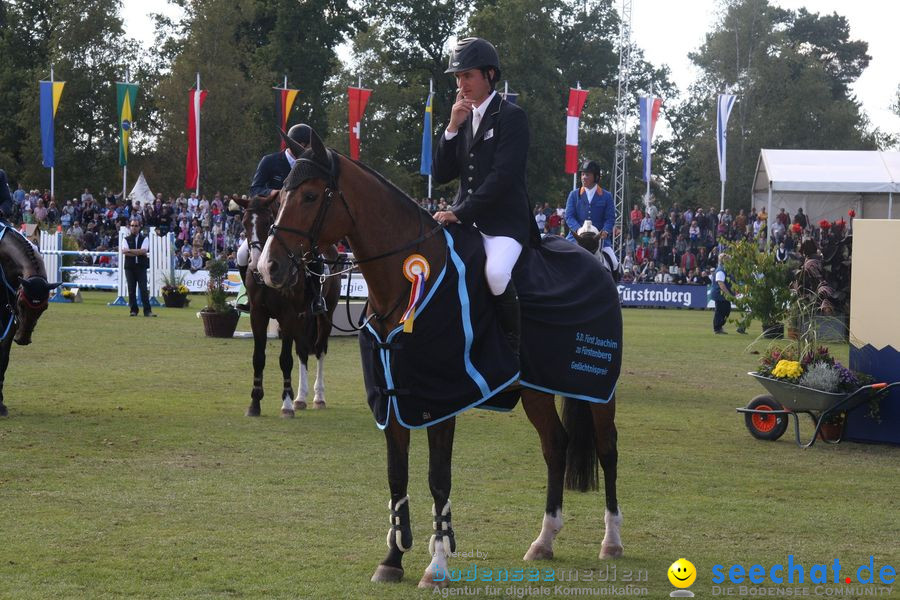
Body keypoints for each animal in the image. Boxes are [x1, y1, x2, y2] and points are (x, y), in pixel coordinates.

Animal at [0, 225, 60, 418]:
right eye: (21, 303)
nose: (23, 339)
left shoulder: (10, 321)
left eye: (44, 307)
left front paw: (1, 404)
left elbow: (4, 357)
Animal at [234, 197, 340, 418]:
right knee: (302, 351)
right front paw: (255, 403)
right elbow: (258, 358)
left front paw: (287, 405)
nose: (256, 265)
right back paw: (300, 397)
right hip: (303, 318)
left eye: (268, 223)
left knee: (319, 350)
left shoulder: (288, 315)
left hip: (324, 316)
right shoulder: (258, 314)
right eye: (245, 223)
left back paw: (318, 397)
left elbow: (285, 359)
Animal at [253, 130, 620, 584]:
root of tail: (595, 262)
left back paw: (611, 540)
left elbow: (438, 479)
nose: (268, 268)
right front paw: (392, 559)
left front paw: (437, 563)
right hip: (536, 389)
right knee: (556, 445)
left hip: (598, 389)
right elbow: (397, 475)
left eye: (308, 195)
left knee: (607, 448)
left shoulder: (440, 401)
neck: (403, 286)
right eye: (279, 196)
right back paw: (544, 540)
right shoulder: (394, 400)